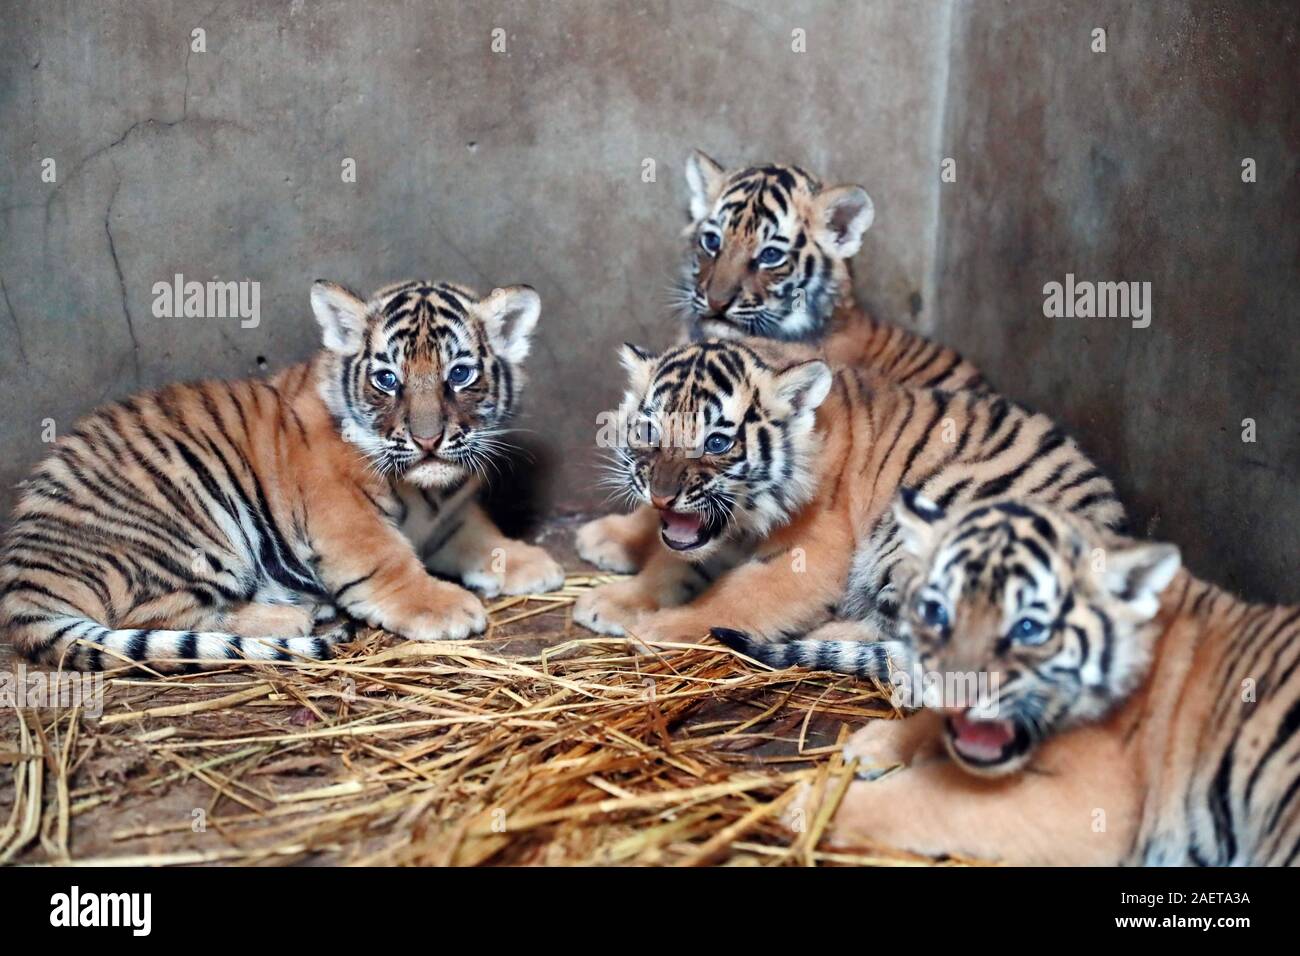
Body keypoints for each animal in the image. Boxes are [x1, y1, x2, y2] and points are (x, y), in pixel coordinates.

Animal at [0, 279, 564, 670]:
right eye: (387, 379)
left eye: (460, 374)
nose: (428, 440)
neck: (427, 490)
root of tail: (21, 575)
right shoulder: (347, 517)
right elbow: (390, 563)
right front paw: (445, 607)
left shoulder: (450, 515)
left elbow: (480, 534)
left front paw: (527, 562)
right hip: (192, 522)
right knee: (146, 615)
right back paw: (293, 617)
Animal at [571, 337, 1124, 655]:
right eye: (649, 431)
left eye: (717, 443)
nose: (662, 496)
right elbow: (668, 563)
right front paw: (611, 596)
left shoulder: (809, 557)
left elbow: (731, 597)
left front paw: (657, 628)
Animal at [715, 495, 1300, 866]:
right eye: (938, 612)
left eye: (1029, 627)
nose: (953, 688)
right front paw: (871, 744)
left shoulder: (1088, 806)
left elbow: (926, 798)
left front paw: (804, 805)